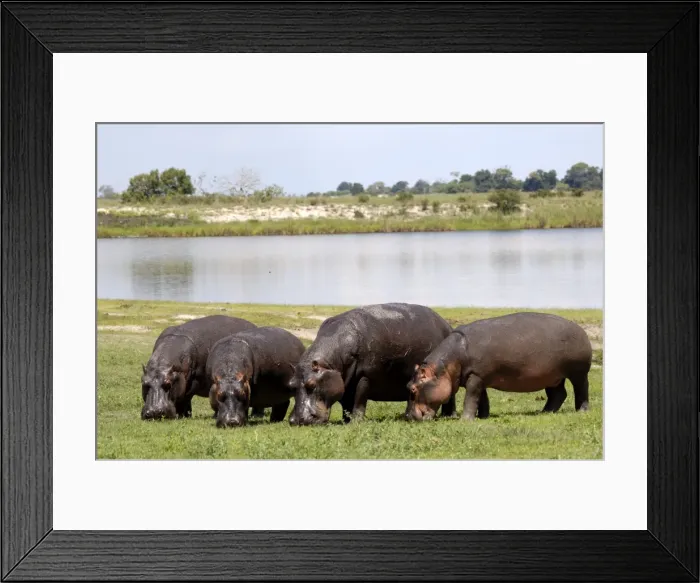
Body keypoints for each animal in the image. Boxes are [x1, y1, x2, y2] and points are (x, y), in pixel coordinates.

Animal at [288, 303, 454, 425]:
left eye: (311, 384)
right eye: (291, 385)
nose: (296, 420)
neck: (330, 363)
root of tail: (446, 324)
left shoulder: (365, 377)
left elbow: (359, 400)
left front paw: (355, 422)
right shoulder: (344, 381)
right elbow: (346, 403)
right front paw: (346, 420)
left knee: (450, 395)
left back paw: (448, 416)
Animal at [405, 312, 592, 421]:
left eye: (413, 389)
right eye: (407, 384)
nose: (408, 417)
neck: (446, 366)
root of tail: (580, 329)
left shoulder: (476, 377)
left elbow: (470, 398)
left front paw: (466, 420)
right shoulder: (479, 377)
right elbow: (481, 398)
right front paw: (483, 417)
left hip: (578, 372)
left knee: (581, 389)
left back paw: (582, 411)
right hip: (553, 376)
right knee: (558, 394)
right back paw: (544, 412)